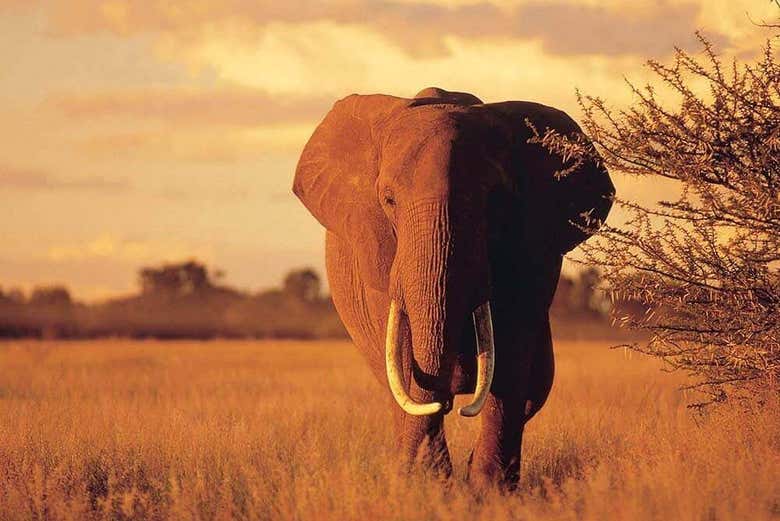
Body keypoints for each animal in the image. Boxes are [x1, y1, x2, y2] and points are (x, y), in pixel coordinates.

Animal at [293, 87, 614, 488]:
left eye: (496, 199)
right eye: (388, 200)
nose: (446, 401)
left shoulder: (534, 247)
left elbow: (512, 347)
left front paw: (489, 490)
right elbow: (402, 352)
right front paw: (427, 487)